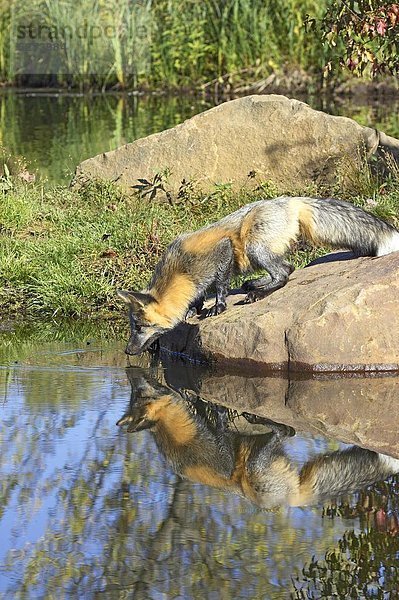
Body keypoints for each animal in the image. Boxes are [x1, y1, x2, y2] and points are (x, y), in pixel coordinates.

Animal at [118, 197, 399, 354]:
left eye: (140, 328)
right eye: (133, 328)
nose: (127, 352)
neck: (181, 271)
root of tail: (289, 200)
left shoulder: (223, 252)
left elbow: (220, 286)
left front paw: (217, 307)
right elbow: (199, 296)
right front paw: (193, 309)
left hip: (254, 247)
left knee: (283, 273)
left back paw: (258, 293)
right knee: (288, 268)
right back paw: (254, 285)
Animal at [118, 372, 399, 508]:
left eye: (137, 392)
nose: (132, 373)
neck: (175, 434)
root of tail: (291, 500)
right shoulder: (223, 452)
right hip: (256, 466)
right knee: (286, 433)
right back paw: (268, 422)